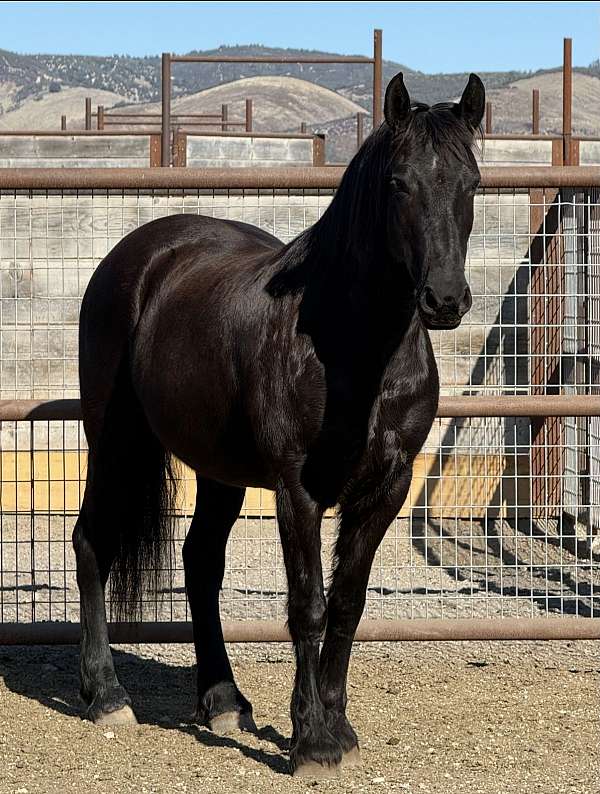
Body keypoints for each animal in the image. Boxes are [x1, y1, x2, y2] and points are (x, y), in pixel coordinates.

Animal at [75, 71, 486, 776]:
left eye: (472, 181)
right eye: (398, 183)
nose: (444, 300)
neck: (354, 349)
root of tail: (138, 256)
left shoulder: (387, 488)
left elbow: (347, 604)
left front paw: (338, 727)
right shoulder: (299, 491)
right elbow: (308, 607)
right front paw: (311, 741)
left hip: (217, 469)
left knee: (200, 562)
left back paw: (223, 699)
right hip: (114, 442)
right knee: (92, 544)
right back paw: (105, 695)